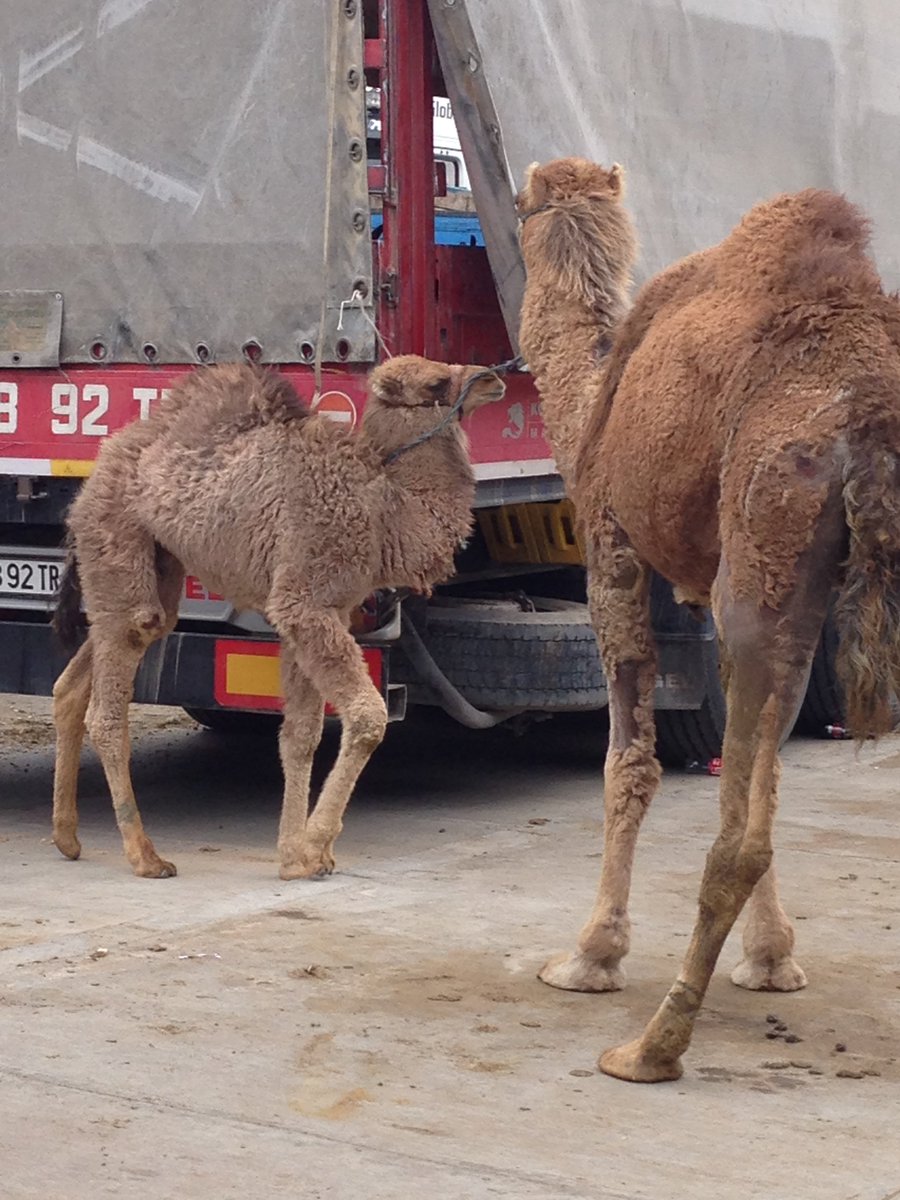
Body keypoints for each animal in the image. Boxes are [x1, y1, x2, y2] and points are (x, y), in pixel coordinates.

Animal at [51, 355, 508, 883]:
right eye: (436, 383)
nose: (493, 379)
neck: (384, 510)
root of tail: (96, 473)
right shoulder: (306, 602)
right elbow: (367, 716)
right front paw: (315, 846)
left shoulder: (314, 615)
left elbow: (299, 735)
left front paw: (292, 855)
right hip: (117, 537)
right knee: (109, 705)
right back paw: (145, 856)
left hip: (155, 566)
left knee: (87, 670)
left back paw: (67, 837)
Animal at [518, 157, 900, 1080]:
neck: (597, 391)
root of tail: (873, 414)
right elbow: (767, 773)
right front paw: (772, 958)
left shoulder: (611, 545)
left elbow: (629, 763)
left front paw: (591, 954)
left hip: (762, 539)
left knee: (733, 843)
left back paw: (652, 1045)